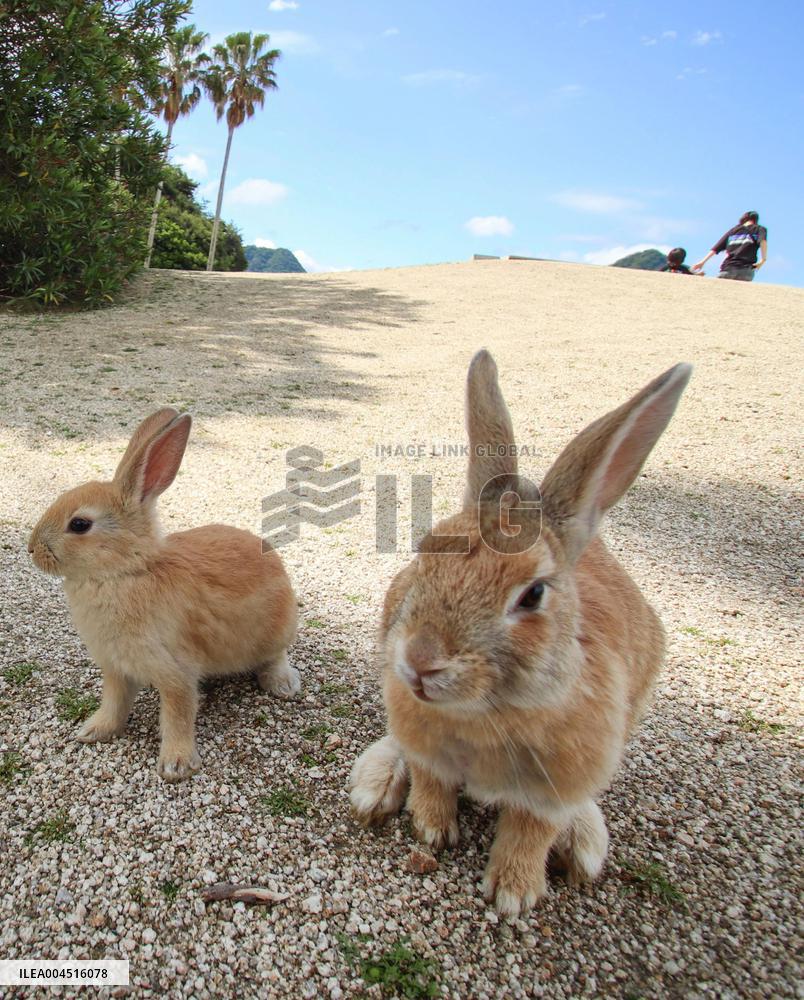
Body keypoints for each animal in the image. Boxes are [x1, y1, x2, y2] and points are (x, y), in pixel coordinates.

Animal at [29, 407, 299, 782]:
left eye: (79, 525)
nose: (31, 549)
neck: (126, 571)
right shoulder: (116, 669)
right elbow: (114, 703)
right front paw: (94, 731)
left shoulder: (176, 671)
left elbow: (178, 714)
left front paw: (176, 765)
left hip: (276, 632)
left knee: (276, 655)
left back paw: (283, 684)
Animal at [349, 350, 691, 916]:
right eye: (424, 553)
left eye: (532, 595)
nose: (420, 660)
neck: (488, 714)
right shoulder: (423, 741)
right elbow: (430, 778)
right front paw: (432, 829)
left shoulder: (556, 785)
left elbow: (533, 828)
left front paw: (513, 894)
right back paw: (375, 786)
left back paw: (583, 841)